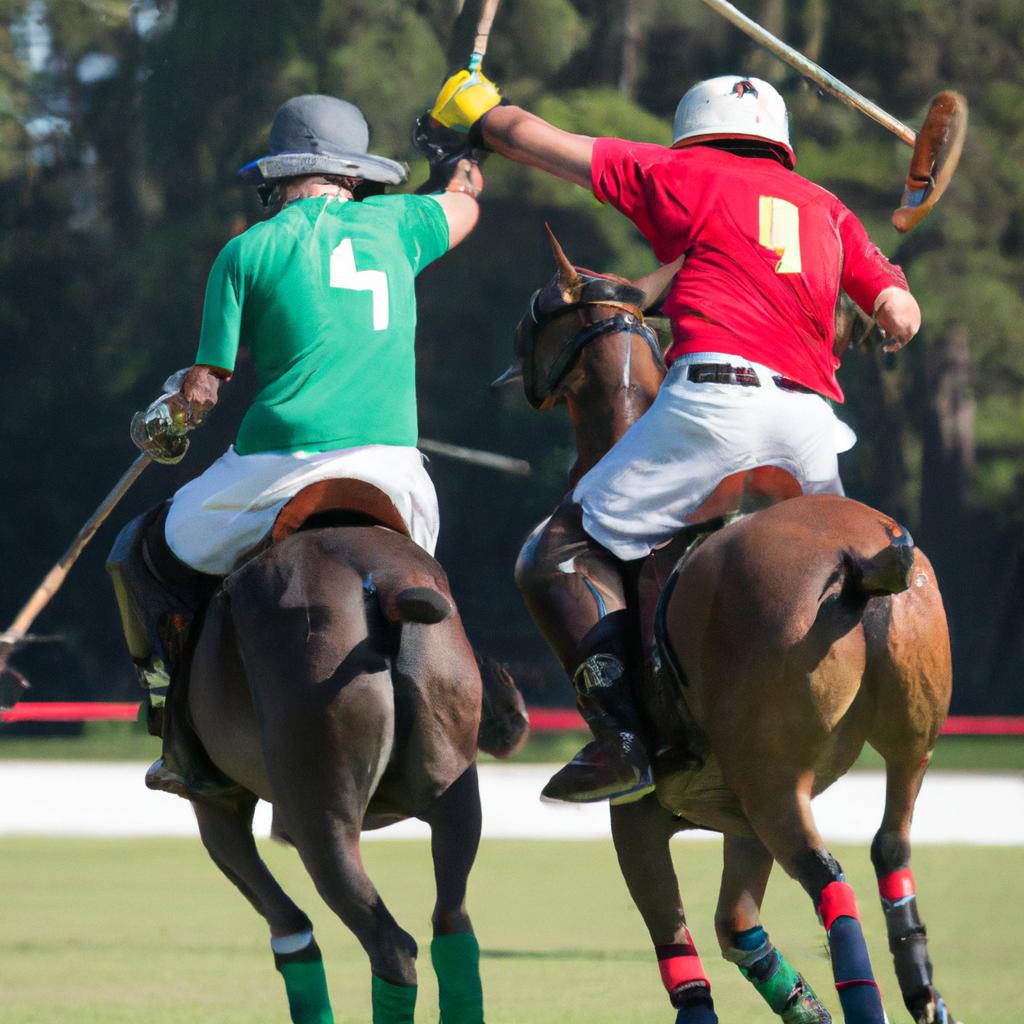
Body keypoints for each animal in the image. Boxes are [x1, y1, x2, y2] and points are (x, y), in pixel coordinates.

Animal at [134, 491, 528, 1019]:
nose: (511, 720)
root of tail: (383, 585)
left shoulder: (217, 801)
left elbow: (288, 927)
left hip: (320, 808)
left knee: (389, 944)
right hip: (454, 784)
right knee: (451, 921)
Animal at [503, 232, 958, 1024]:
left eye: (537, 312)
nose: (509, 371)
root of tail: (868, 565)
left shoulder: (641, 814)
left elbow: (683, 961)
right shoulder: (737, 821)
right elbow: (741, 933)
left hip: (775, 782)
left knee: (830, 878)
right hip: (907, 747)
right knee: (890, 854)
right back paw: (924, 993)